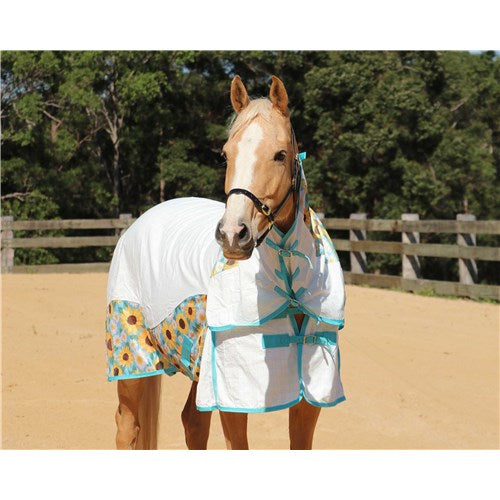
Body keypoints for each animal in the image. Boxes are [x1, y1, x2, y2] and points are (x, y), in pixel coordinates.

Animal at [105, 75, 346, 450]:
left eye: (280, 155)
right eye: (226, 154)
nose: (233, 234)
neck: (288, 282)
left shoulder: (310, 399)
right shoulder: (234, 395)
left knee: (192, 422)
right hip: (133, 361)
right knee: (127, 426)